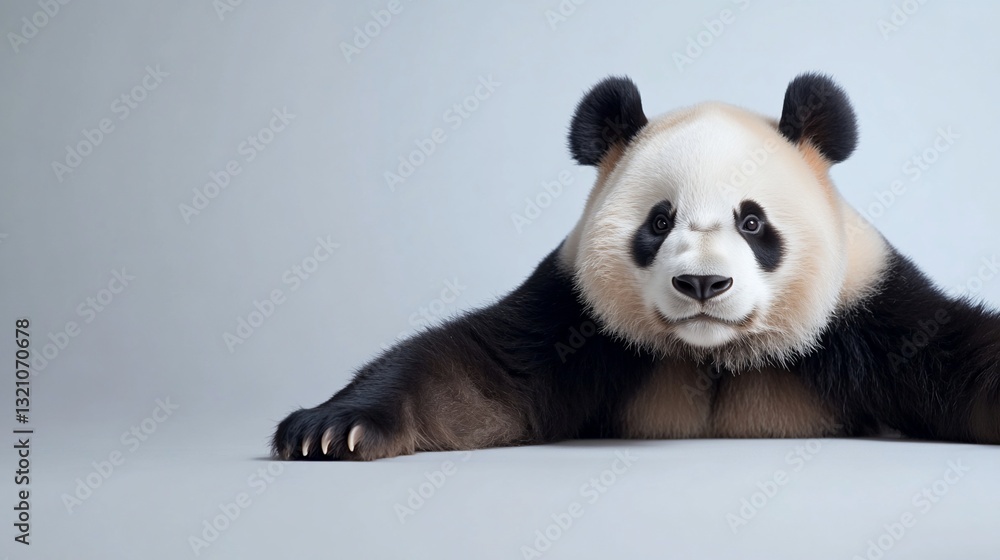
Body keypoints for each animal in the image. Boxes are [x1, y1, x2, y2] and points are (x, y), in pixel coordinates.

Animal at [272, 73, 1000, 460]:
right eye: (659, 221)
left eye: (752, 222)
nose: (703, 283)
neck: (714, 356)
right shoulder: (573, 314)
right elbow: (472, 379)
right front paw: (330, 428)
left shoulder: (866, 310)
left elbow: (953, 351)